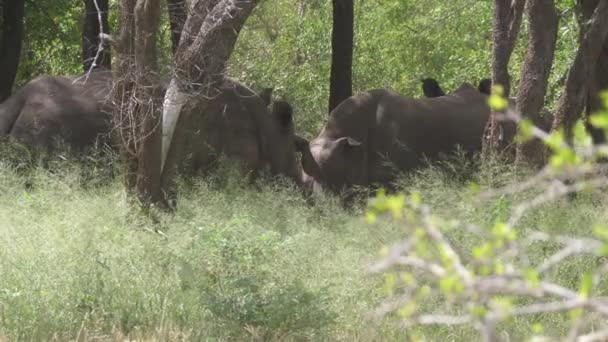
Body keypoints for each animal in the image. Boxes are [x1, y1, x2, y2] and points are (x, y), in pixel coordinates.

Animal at [0, 69, 302, 186]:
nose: (307, 196)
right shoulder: (232, 165)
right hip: (47, 121)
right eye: (294, 161)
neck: (269, 129)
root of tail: (19, 97)